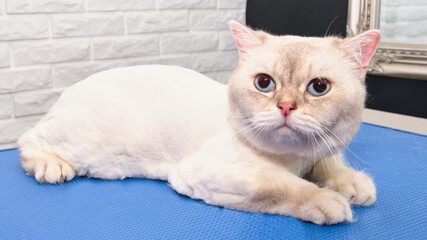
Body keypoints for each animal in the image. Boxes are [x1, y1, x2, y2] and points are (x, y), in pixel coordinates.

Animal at [17, 21, 382, 225]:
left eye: (318, 87)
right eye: (264, 83)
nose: (286, 106)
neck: (293, 160)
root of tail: (66, 93)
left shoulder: (319, 151)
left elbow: (331, 164)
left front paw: (354, 185)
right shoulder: (216, 172)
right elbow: (285, 187)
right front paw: (330, 202)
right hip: (84, 145)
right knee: (27, 139)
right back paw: (51, 167)